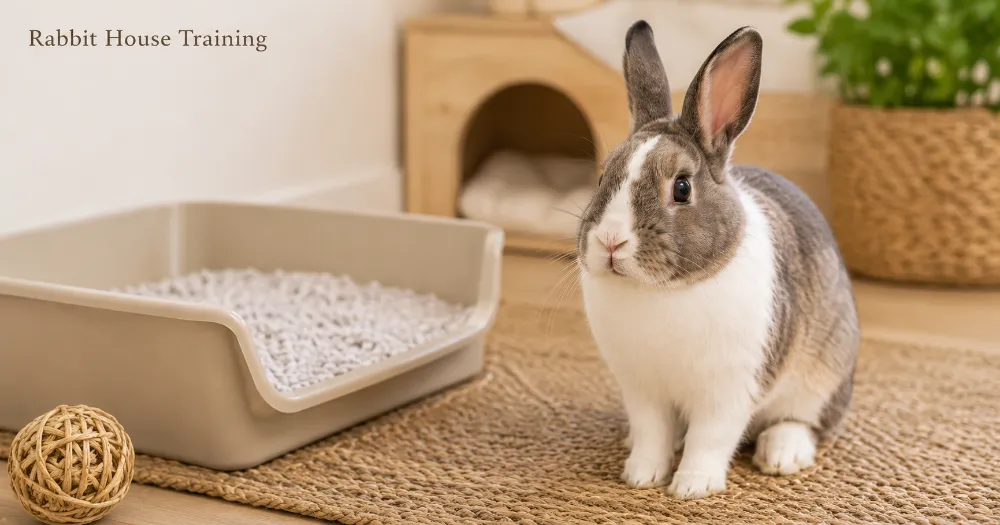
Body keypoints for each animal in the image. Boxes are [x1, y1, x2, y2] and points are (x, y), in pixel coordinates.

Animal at [576, 20, 860, 500]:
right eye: (602, 177)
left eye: (682, 188)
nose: (611, 241)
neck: (663, 291)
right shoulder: (642, 390)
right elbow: (652, 432)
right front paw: (641, 475)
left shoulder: (728, 390)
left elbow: (711, 438)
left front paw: (692, 486)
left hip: (824, 375)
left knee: (807, 422)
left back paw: (782, 453)